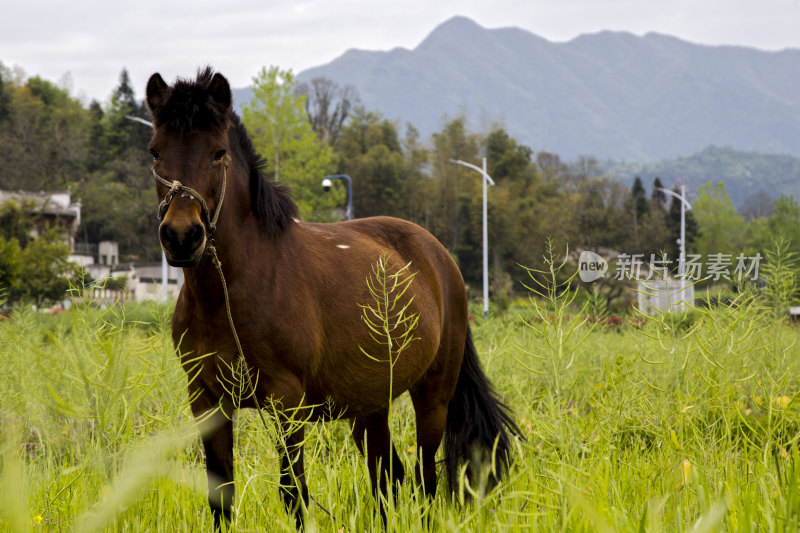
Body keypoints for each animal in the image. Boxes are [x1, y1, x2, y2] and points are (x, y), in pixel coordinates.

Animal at [144, 67, 520, 528]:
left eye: (218, 153)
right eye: (156, 152)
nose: (182, 236)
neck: (232, 292)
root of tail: (440, 259)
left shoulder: (288, 405)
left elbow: (294, 495)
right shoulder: (207, 403)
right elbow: (221, 499)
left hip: (433, 396)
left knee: (426, 481)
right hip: (369, 408)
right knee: (388, 479)